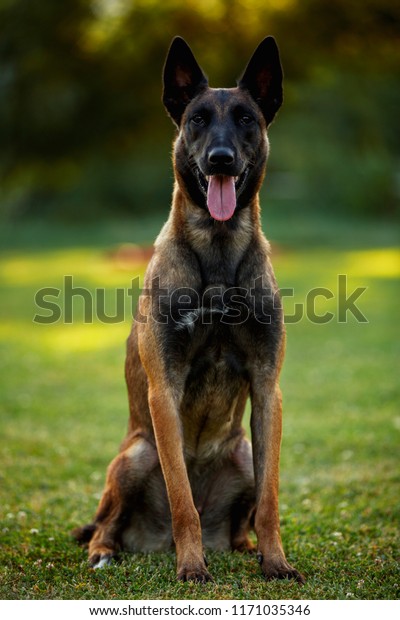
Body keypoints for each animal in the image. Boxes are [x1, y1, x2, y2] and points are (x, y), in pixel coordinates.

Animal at [72, 36, 304, 584]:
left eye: (246, 118)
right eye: (197, 119)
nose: (220, 159)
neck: (217, 250)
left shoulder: (268, 389)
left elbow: (270, 501)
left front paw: (276, 562)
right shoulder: (165, 391)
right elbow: (182, 499)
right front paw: (192, 567)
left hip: (244, 453)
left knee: (243, 519)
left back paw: (244, 547)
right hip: (136, 455)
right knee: (105, 525)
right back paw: (106, 554)